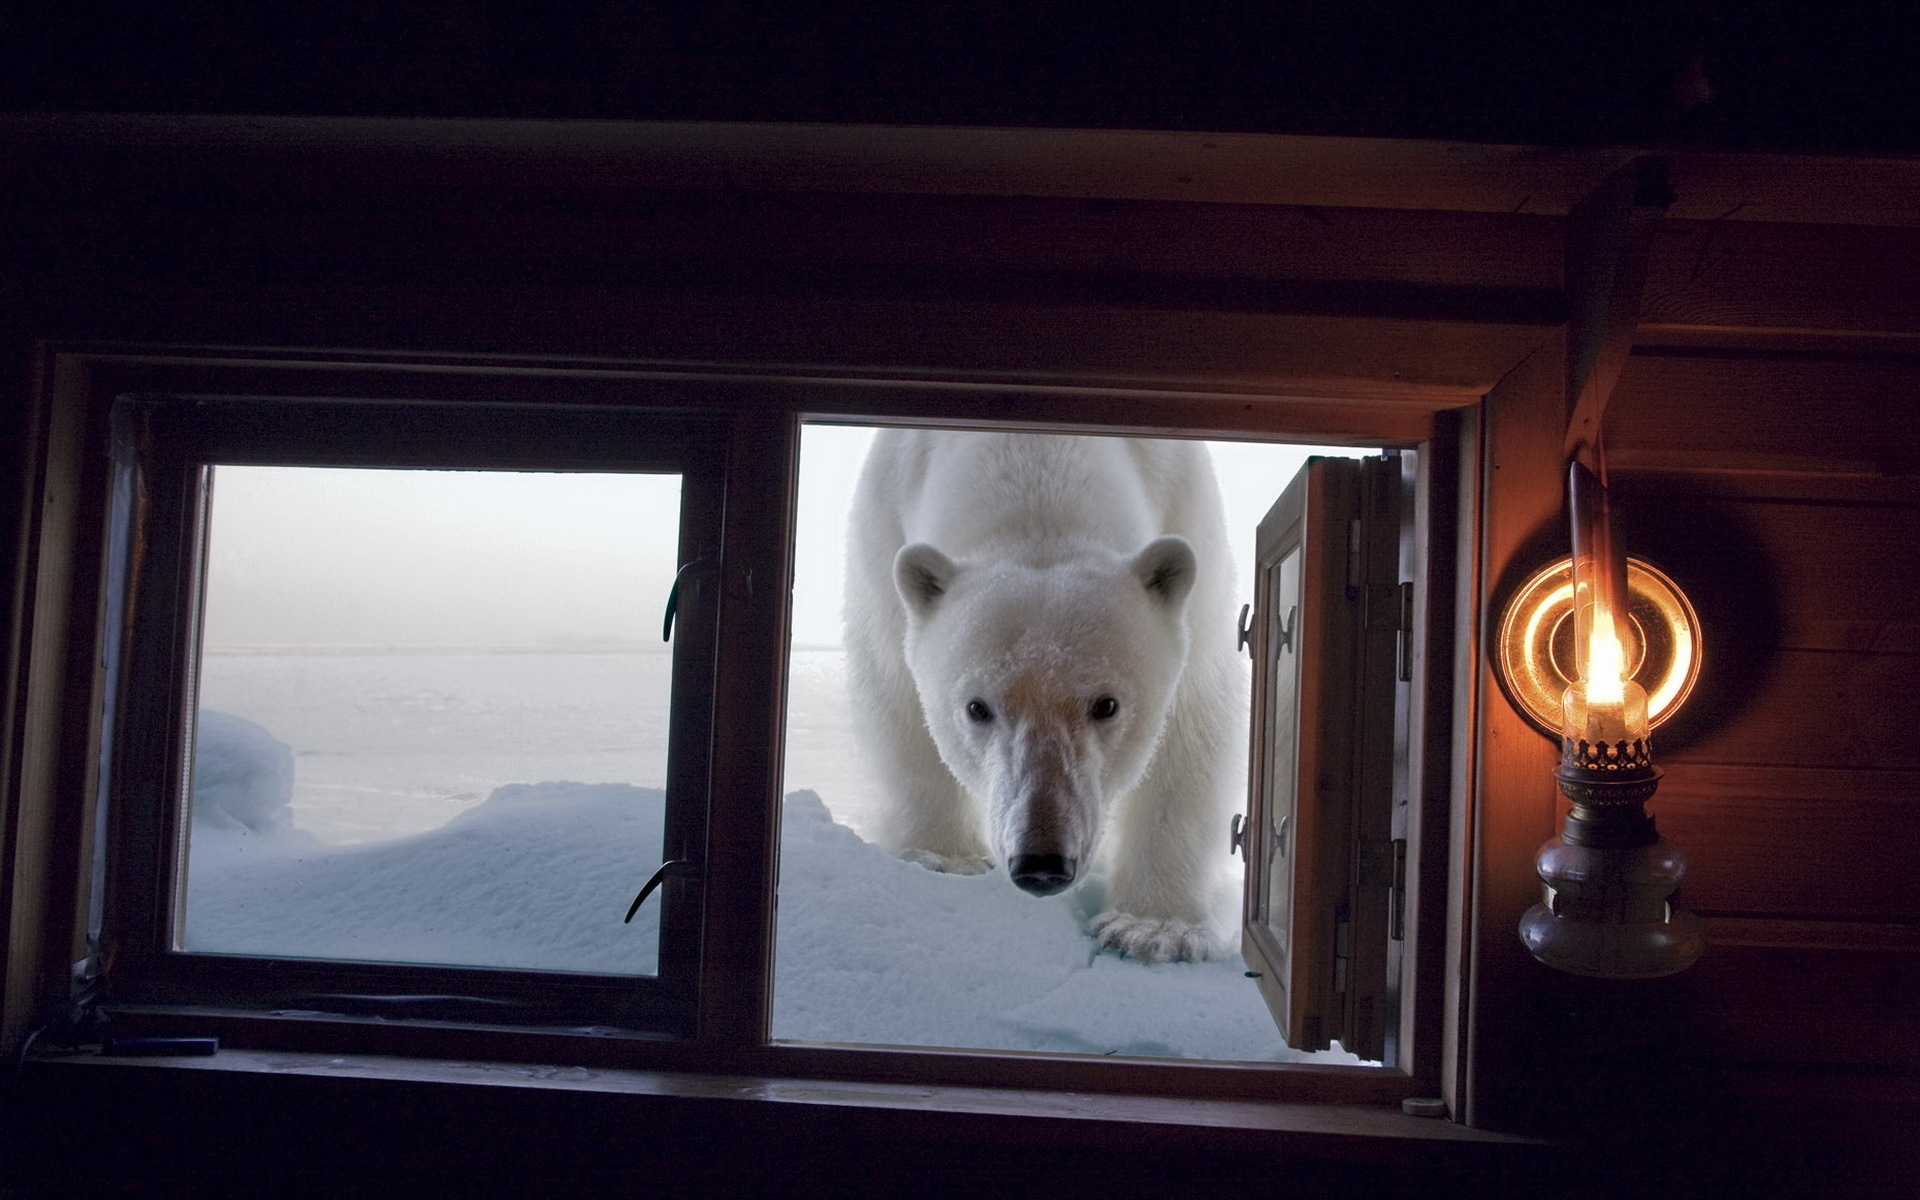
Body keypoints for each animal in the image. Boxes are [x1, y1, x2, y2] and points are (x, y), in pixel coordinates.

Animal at [844, 426, 1244, 960]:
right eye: (977, 708)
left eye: (1106, 704)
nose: (1042, 863)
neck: (1036, 457)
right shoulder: (883, 530)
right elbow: (898, 699)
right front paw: (944, 857)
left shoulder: (1189, 518)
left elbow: (1190, 727)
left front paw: (1153, 929)